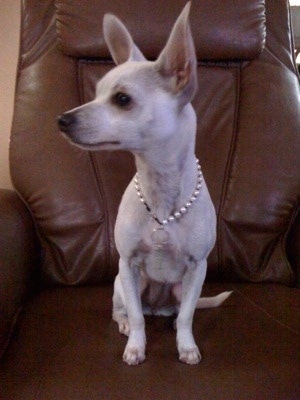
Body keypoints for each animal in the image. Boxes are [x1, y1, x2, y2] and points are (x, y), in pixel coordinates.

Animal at [58, 2, 232, 366]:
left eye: (122, 99)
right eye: (94, 95)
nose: (62, 120)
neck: (161, 192)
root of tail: (158, 306)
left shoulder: (197, 268)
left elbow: (188, 316)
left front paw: (186, 346)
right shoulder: (128, 264)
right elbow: (137, 318)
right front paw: (136, 347)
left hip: (179, 288)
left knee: (178, 310)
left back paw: (171, 321)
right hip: (125, 285)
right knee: (128, 309)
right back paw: (126, 323)